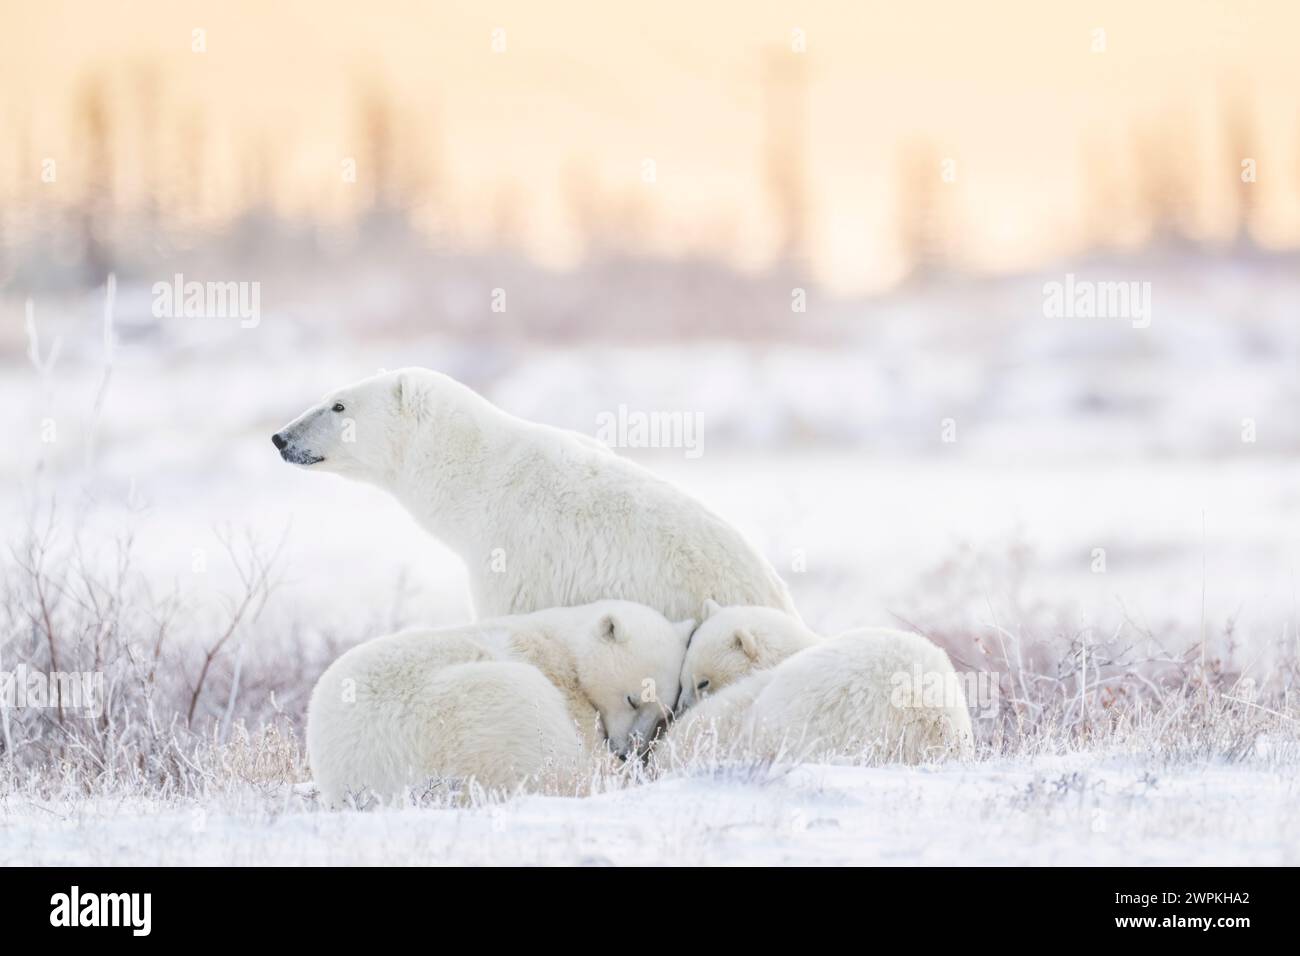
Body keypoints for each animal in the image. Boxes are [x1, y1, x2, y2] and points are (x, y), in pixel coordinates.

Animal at [307, 600, 693, 806]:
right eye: (631, 699)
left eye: (663, 713)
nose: (630, 752)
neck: (561, 641)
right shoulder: (554, 672)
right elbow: (582, 734)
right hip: (472, 713)